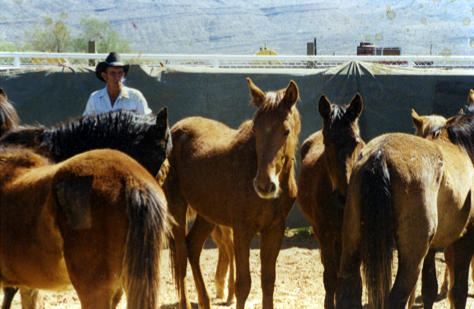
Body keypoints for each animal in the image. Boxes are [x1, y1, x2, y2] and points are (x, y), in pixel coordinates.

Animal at [164, 77, 300, 308]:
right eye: (256, 130)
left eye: (286, 131)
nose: (264, 185)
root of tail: (175, 130)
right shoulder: (242, 230)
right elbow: (243, 284)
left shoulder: (275, 230)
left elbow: (268, 283)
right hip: (177, 207)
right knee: (181, 254)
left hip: (207, 214)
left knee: (193, 247)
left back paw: (205, 300)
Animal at [298, 93, 364, 308]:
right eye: (327, 143)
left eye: (355, 142)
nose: (344, 195)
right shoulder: (324, 234)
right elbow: (330, 277)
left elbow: (353, 278)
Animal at [336, 109, 474, 308]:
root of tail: (380, 155)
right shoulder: (465, 237)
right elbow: (458, 292)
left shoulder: (432, 247)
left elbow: (430, 289)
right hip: (412, 255)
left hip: (352, 243)